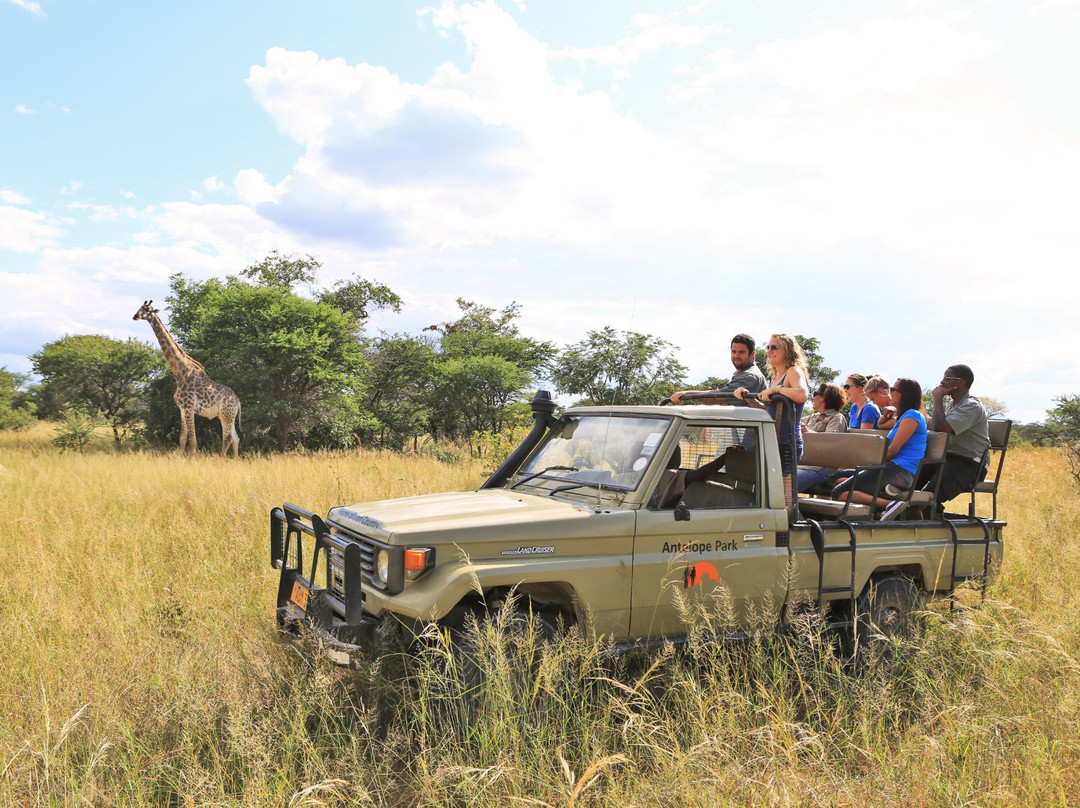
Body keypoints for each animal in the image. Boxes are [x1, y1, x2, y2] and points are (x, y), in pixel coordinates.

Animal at [131, 300, 241, 458]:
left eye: (147, 309)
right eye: (140, 308)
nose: (135, 316)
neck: (181, 374)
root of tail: (238, 402)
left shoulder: (189, 408)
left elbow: (192, 439)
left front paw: (193, 458)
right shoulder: (182, 409)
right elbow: (182, 438)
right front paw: (179, 457)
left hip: (226, 415)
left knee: (227, 438)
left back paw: (222, 459)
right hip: (226, 416)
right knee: (235, 438)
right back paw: (235, 460)